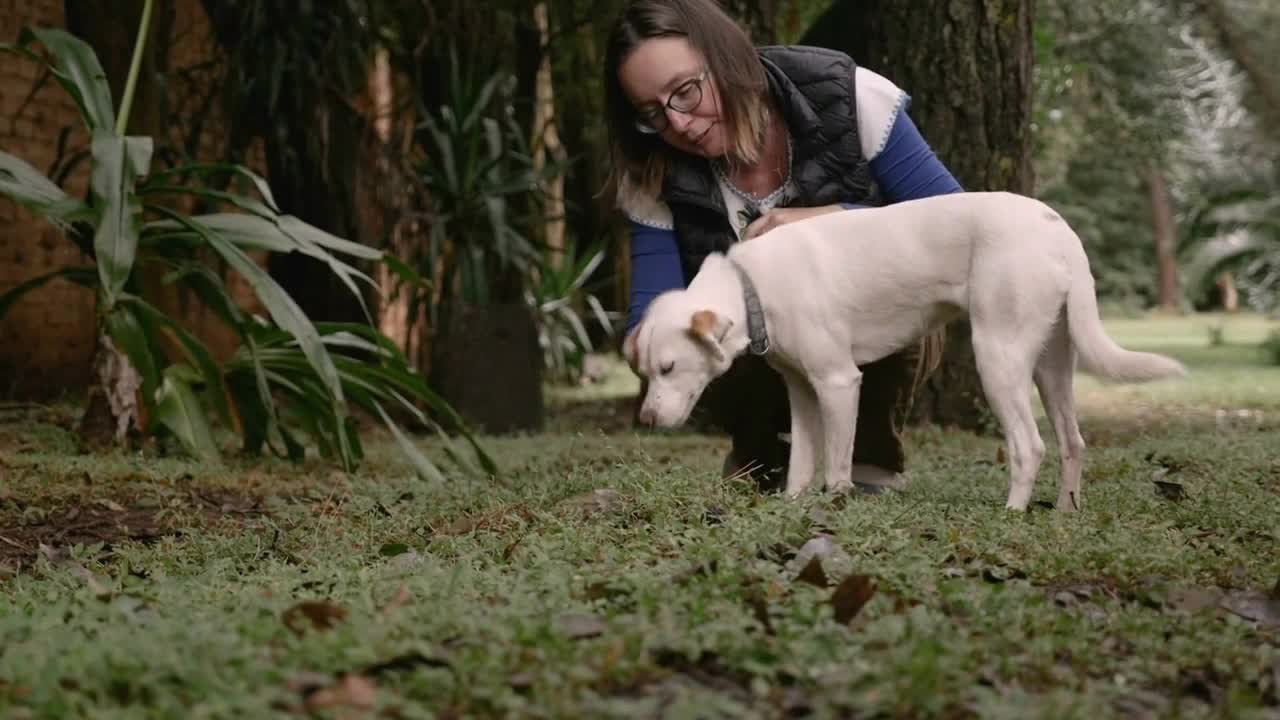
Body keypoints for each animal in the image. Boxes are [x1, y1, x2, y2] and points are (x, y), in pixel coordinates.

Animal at [624, 188, 1182, 507]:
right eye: (645, 373)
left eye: (669, 367)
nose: (646, 421)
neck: (751, 285)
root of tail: (1056, 226)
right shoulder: (803, 393)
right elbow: (802, 461)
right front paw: (791, 505)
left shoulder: (839, 383)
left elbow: (837, 463)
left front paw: (833, 506)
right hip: (1051, 366)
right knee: (1072, 442)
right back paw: (1065, 512)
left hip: (998, 359)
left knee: (1031, 445)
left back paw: (1014, 513)